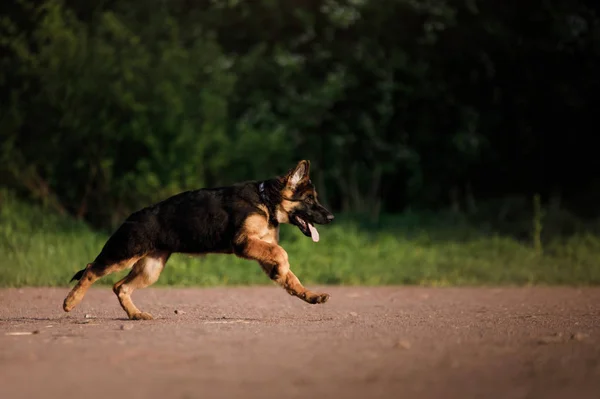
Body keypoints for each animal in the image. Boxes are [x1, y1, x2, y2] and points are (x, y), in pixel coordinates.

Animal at [63, 161, 336, 320]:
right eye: (309, 200)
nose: (331, 217)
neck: (265, 200)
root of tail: (130, 217)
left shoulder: (260, 248)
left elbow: (290, 275)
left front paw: (308, 295)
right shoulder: (244, 243)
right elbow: (281, 254)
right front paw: (283, 271)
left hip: (151, 268)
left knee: (119, 286)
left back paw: (136, 314)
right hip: (124, 254)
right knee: (91, 269)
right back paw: (70, 302)